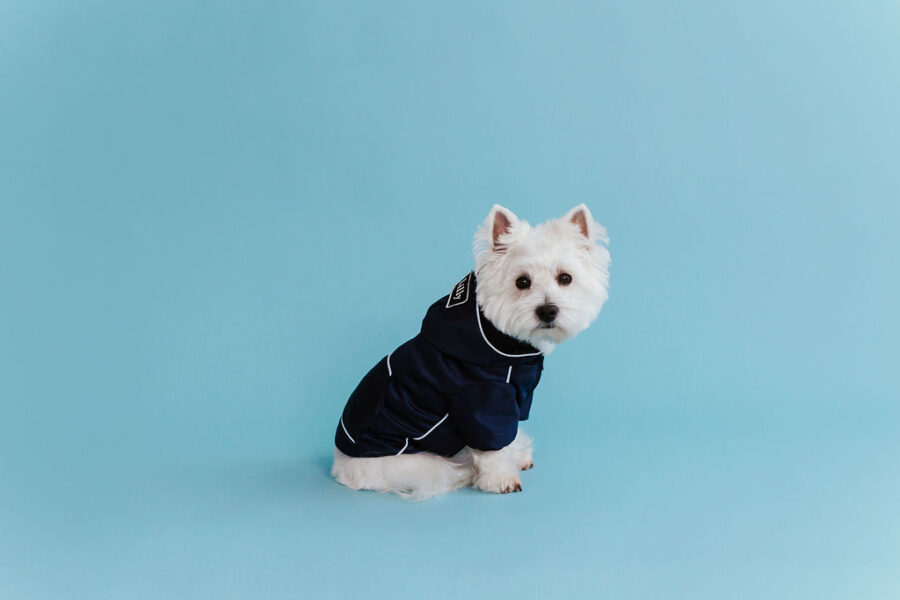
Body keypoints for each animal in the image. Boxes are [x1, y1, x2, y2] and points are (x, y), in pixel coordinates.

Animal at [330, 204, 612, 500]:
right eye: (522, 282)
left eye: (565, 278)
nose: (547, 311)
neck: (502, 341)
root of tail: (339, 465)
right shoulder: (484, 400)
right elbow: (492, 446)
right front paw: (501, 479)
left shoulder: (514, 399)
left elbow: (509, 435)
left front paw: (517, 456)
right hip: (414, 464)